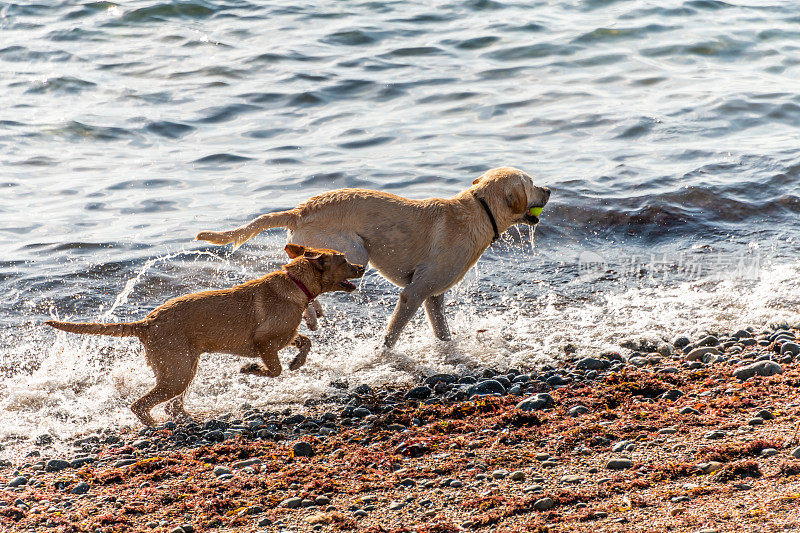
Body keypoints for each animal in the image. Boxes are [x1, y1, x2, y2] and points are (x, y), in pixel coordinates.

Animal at [45, 244, 364, 424]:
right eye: (344, 260)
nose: (362, 265)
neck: (297, 283)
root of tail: (146, 322)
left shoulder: (284, 335)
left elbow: (304, 341)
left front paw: (298, 362)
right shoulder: (264, 342)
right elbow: (274, 369)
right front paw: (251, 369)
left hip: (185, 368)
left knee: (172, 406)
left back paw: (189, 418)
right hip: (177, 373)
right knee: (141, 405)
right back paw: (156, 426)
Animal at [198, 167, 552, 350]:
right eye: (532, 183)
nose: (549, 190)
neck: (477, 209)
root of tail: (299, 210)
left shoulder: (433, 296)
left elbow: (441, 329)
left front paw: (448, 350)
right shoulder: (414, 293)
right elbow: (393, 332)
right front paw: (384, 354)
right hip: (355, 252)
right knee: (300, 275)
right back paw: (311, 314)